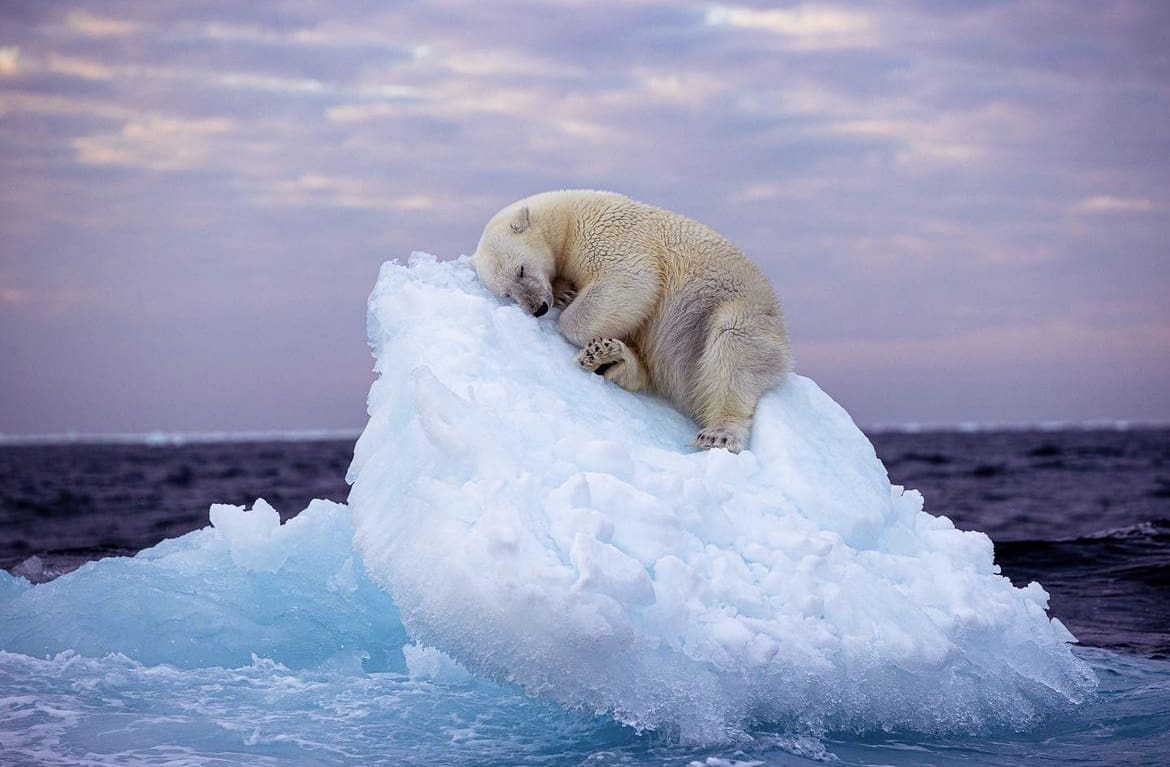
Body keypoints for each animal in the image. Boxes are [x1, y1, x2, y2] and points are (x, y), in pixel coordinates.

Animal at [470, 190, 790, 451]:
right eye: (507, 293)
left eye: (521, 270)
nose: (538, 307)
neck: (567, 218)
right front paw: (565, 293)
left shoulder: (607, 234)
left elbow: (631, 280)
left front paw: (569, 310)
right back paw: (608, 357)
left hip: (734, 309)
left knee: (733, 349)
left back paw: (719, 433)